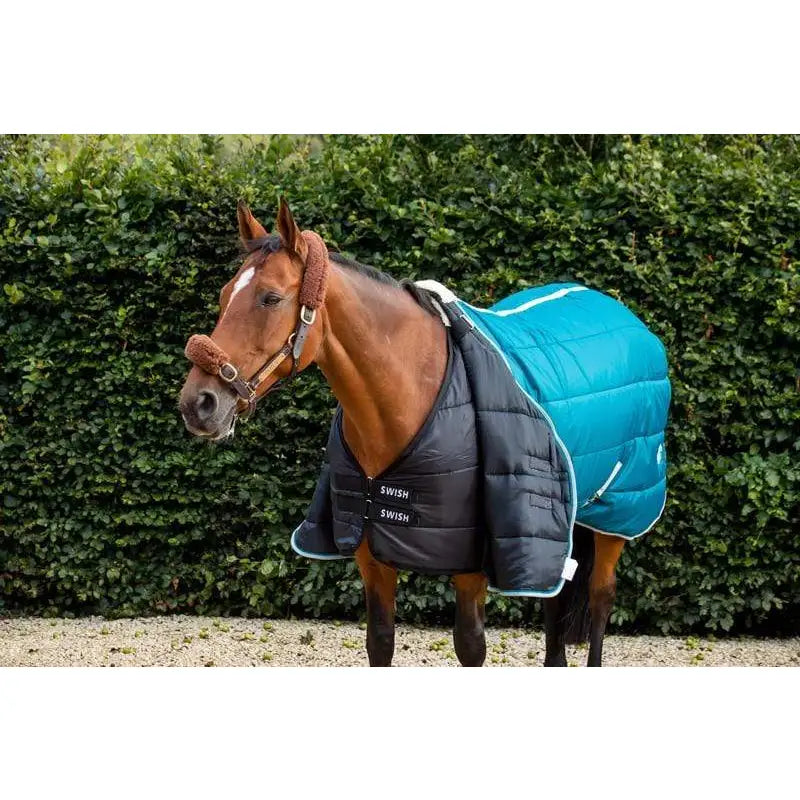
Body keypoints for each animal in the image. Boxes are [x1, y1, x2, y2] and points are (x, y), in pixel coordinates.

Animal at [179, 199, 635, 667]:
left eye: (270, 298)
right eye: (224, 296)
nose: (198, 403)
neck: (415, 394)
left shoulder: (469, 563)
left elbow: (470, 646)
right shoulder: (371, 554)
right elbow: (380, 642)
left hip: (617, 517)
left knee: (601, 595)